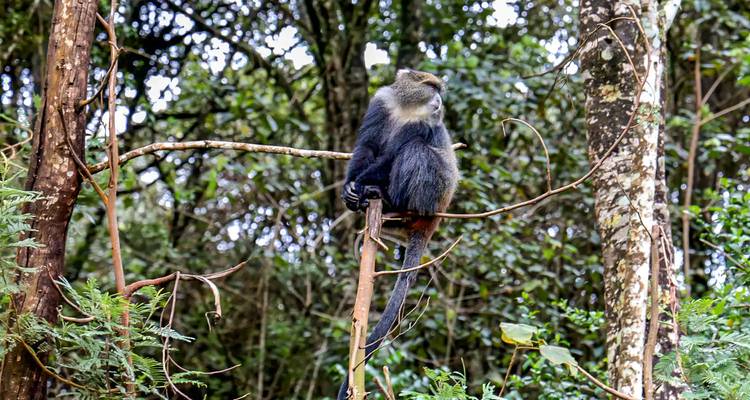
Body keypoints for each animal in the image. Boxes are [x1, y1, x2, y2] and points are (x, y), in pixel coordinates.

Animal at [337, 69, 458, 399]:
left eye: (439, 88)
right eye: (430, 86)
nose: (439, 101)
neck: (409, 109)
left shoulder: (423, 125)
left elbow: (392, 155)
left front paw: (360, 186)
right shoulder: (381, 103)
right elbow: (367, 146)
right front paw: (349, 189)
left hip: (433, 191)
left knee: (416, 151)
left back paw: (387, 198)